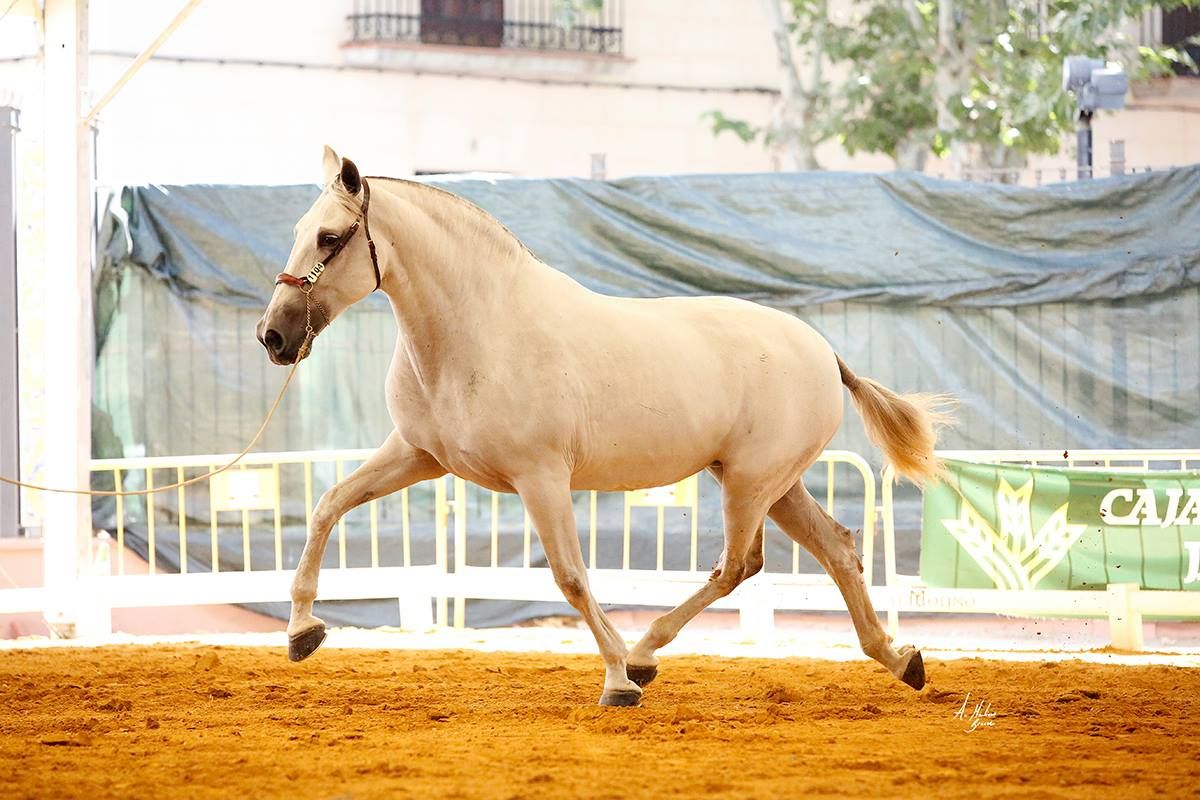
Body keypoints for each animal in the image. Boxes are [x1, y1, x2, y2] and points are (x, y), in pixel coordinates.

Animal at [258, 146, 950, 705]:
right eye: (298, 231)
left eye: (329, 238)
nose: (274, 336)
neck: (480, 329)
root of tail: (823, 351)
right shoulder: (418, 455)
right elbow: (328, 504)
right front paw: (303, 631)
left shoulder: (540, 477)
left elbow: (570, 576)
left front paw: (616, 678)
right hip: (774, 485)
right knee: (835, 549)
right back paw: (900, 659)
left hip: (752, 482)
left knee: (738, 565)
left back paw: (644, 655)